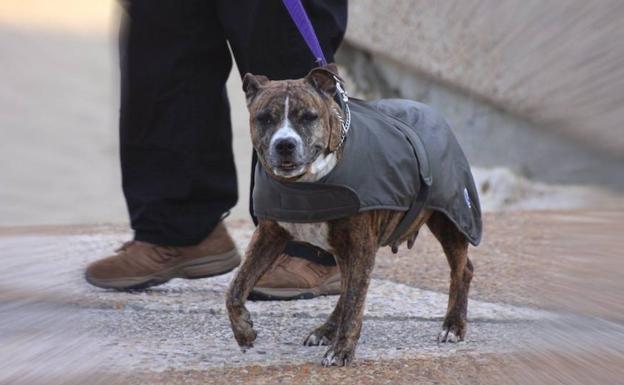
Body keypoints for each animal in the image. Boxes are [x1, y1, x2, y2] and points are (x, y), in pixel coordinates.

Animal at [227, 64, 476, 364]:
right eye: (264, 118)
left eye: (308, 117)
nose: (285, 144)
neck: (310, 181)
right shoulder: (269, 234)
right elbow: (236, 287)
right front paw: (243, 330)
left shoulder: (361, 245)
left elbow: (355, 302)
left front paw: (342, 350)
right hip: (343, 247)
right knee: (345, 290)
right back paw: (325, 330)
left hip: (451, 219)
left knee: (462, 270)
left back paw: (453, 325)